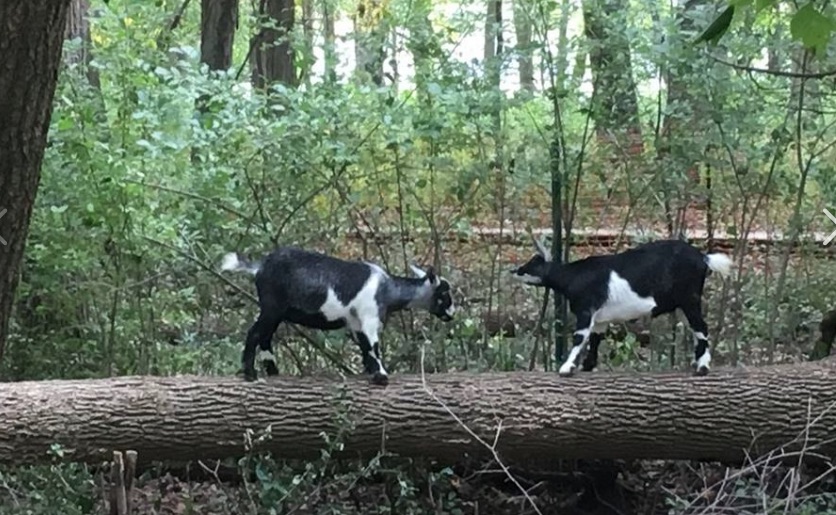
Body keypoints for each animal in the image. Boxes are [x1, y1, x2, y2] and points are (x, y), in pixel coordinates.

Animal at [220, 248, 458, 384]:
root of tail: (260, 267)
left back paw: (273, 372)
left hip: (276, 311)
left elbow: (365, 347)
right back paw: (250, 374)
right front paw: (381, 376)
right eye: (444, 293)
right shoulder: (369, 317)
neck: (388, 289)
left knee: (265, 337)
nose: (452, 315)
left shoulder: (357, 322)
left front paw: (369, 372)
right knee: (254, 333)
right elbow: (374, 346)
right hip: (272, 307)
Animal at [510, 236, 732, 376]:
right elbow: (595, 338)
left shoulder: (586, 309)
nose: (514, 270)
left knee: (701, 326)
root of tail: (704, 258)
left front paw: (566, 368)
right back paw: (697, 362)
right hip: (682, 305)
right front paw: (587, 366)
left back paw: (702, 368)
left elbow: (580, 336)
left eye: (532, 264)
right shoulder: (600, 318)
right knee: (696, 328)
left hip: (689, 298)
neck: (574, 276)